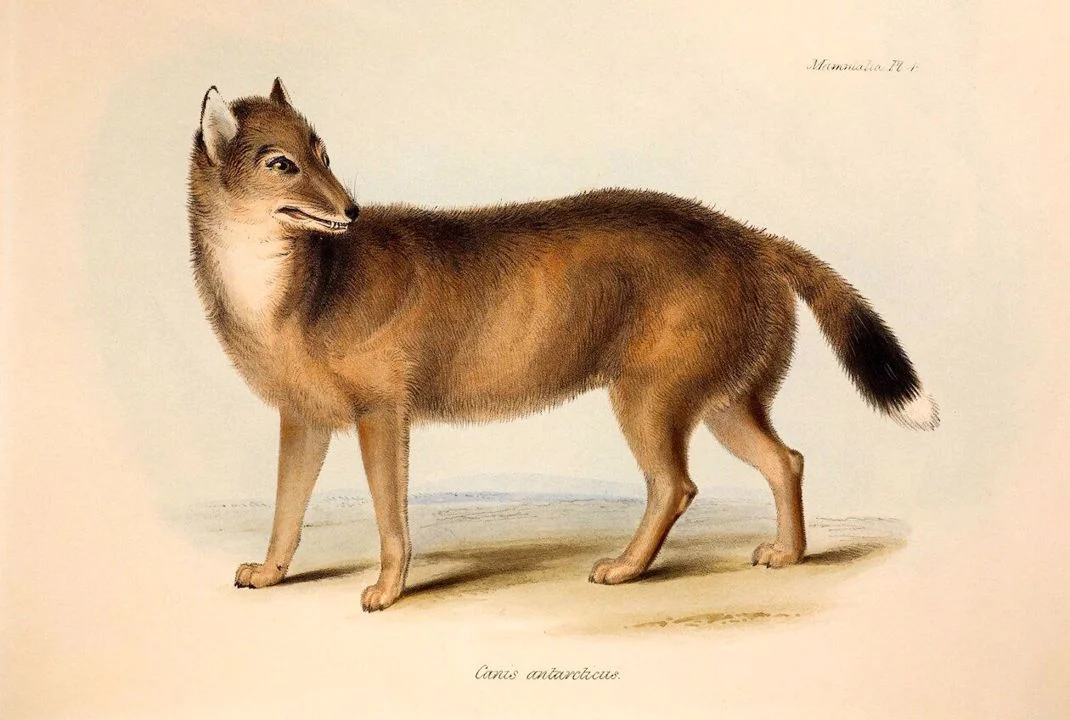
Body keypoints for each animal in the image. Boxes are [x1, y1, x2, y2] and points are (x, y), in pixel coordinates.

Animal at [188, 78, 938, 611]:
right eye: (281, 162)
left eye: (324, 153)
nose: (350, 210)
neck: (291, 292)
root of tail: (750, 236)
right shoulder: (303, 420)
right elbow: (286, 509)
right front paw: (270, 573)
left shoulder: (381, 415)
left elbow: (389, 517)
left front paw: (388, 591)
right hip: (724, 403)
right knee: (788, 461)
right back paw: (789, 554)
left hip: (650, 399)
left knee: (677, 486)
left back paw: (626, 569)